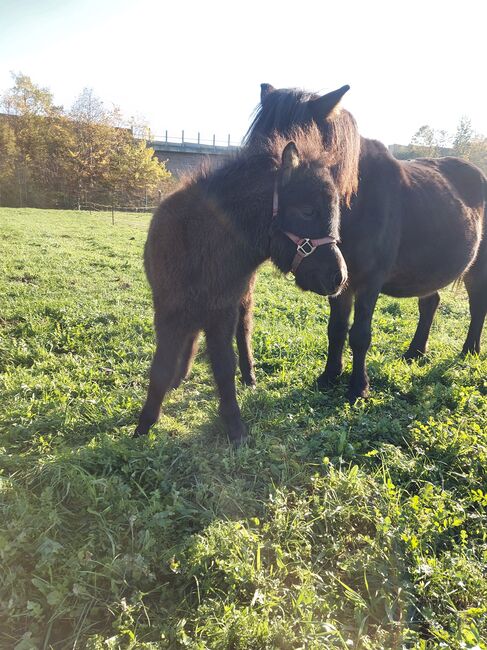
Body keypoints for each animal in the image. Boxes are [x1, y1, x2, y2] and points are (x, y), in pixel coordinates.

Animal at [135, 125, 348, 440]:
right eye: (308, 211)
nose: (339, 277)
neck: (203, 243)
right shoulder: (168, 311)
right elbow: (161, 366)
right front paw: (145, 424)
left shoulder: (222, 312)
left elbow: (226, 366)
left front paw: (234, 427)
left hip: (242, 302)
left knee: (243, 334)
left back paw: (249, 377)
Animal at [246, 85, 487, 400]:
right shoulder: (338, 279)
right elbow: (336, 329)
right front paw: (329, 376)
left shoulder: (368, 280)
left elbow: (360, 334)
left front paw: (358, 387)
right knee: (430, 302)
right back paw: (415, 351)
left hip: (478, 266)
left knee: (478, 304)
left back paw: (469, 350)